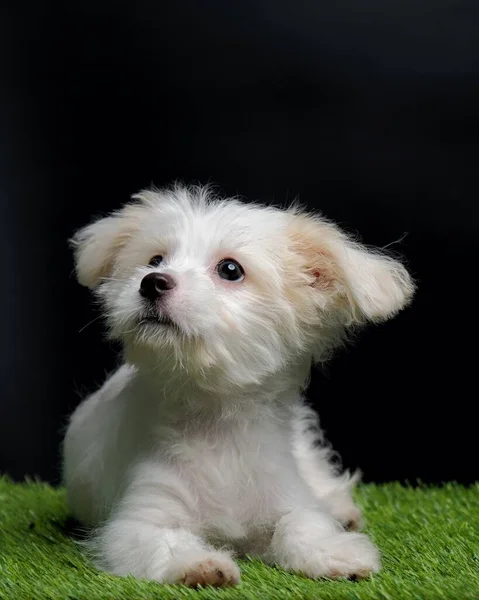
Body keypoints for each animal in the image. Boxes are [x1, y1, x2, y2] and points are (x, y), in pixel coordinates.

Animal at [62, 185, 416, 588]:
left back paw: (340, 509)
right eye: (155, 259)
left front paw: (335, 552)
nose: (151, 281)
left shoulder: (284, 493)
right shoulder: (139, 518)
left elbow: (302, 522)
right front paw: (199, 564)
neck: (218, 419)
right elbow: (160, 541)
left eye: (230, 270)